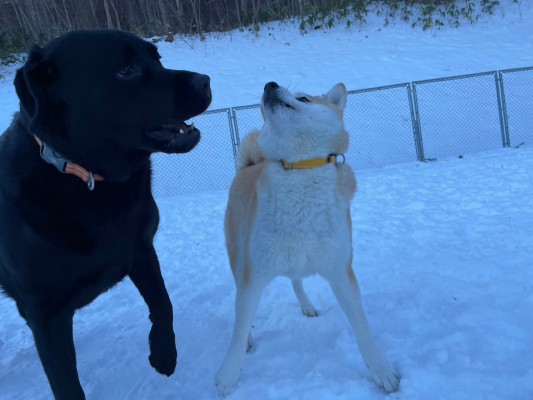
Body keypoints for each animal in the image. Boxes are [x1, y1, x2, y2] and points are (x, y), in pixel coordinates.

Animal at [0, 29, 212, 398]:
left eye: (156, 58)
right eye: (125, 70)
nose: (204, 81)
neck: (87, 179)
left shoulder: (140, 249)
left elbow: (163, 304)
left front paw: (163, 354)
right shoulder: (45, 312)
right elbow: (65, 382)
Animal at [215, 82, 400, 396]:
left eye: (303, 98)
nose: (270, 85)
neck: (299, 168)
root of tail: (249, 166)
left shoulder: (341, 270)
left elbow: (362, 327)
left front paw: (382, 370)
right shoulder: (254, 274)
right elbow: (239, 330)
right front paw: (229, 374)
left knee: (296, 280)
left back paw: (307, 305)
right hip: (238, 254)